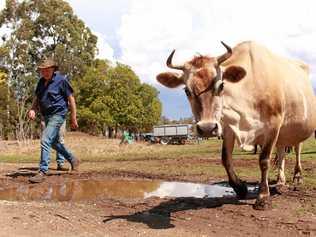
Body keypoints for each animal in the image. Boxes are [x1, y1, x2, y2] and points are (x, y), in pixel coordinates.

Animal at [156, 40, 316, 209]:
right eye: (187, 90)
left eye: (221, 86)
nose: (206, 128)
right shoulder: (227, 127)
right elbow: (225, 159)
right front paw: (240, 187)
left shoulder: (274, 124)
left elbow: (264, 160)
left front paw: (263, 196)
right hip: (282, 134)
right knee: (281, 152)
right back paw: (280, 180)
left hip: (298, 128)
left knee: (297, 149)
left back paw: (297, 176)